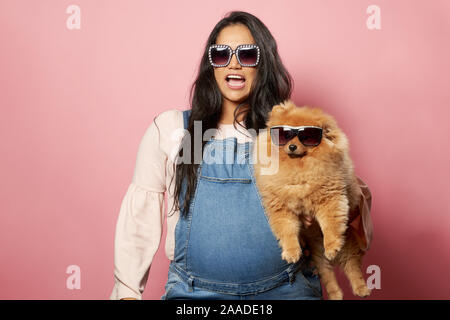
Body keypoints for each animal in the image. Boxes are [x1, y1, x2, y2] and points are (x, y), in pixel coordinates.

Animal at [255, 100, 370, 300]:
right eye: (285, 135)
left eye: (306, 137)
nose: (292, 147)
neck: (298, 170)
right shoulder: (282, 208)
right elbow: (288, 231)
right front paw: (292, 252)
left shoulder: (330, 199)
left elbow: (330, 226)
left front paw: (331, 244)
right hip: (318, 255)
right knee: (327, 274)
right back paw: (335, 294)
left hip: (347, 246)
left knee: (352, 267)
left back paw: (361, 289)